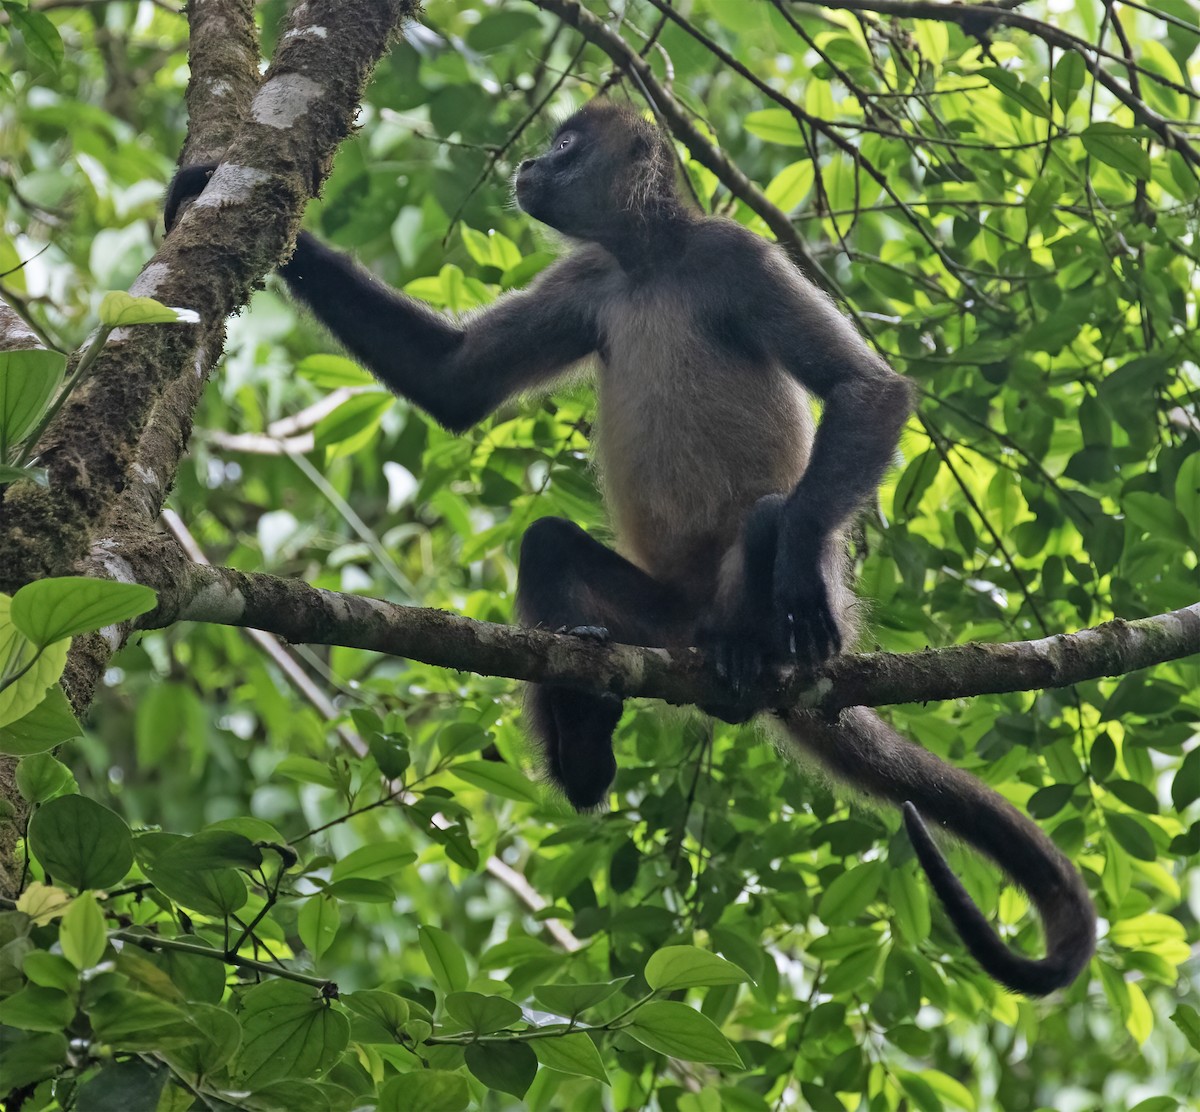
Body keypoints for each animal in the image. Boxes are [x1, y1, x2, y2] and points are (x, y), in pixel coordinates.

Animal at [165, 100, 1096, 995]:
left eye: (565, 143)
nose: (529, 163)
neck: (648, 263)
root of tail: (694, 622)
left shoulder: (734, 252)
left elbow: (870, 390)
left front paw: (797, 571)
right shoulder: (591, 280)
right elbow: (454, 380)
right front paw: (213, 188)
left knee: (771, 518)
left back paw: (753, 637)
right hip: (653, 617)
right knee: (548, 547)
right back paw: (585, 742)